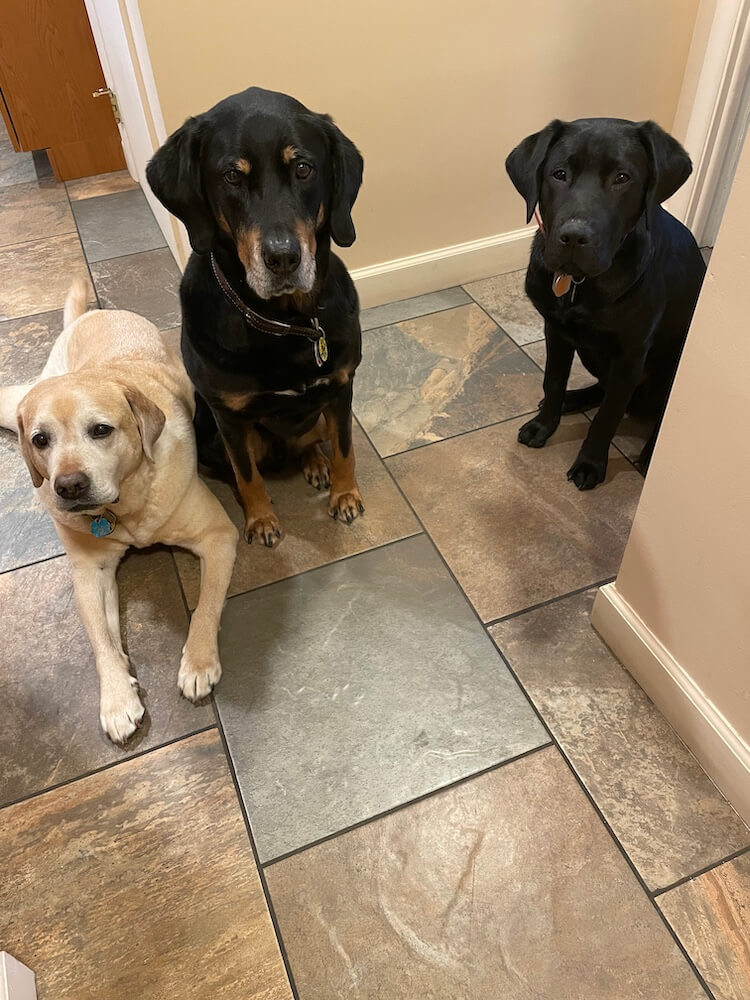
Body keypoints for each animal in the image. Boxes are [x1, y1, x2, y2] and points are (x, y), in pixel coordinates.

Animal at [146, 86, 364, 548]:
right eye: (232, 175)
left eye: (303, 168)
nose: (283, 258)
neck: (284, 325)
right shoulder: (228, 418)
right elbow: (246, 476)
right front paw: (261, 519)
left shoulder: (341, 389)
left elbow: (345, 448)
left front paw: (345, 494)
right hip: (209, 435)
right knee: (236, 467)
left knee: (312, 441)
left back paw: (314, 462)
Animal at [508, 117, 708, 488]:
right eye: (559, 174)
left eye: (622, 177)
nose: (574, 237)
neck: (580, 284)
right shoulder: (556, 331)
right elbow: (553, 380)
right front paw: (544, 425)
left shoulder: (630, 356)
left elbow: (607, 417)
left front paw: (590, 463)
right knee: (604, 390)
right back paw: (572, 399)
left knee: (654, 414)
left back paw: (649, 455)